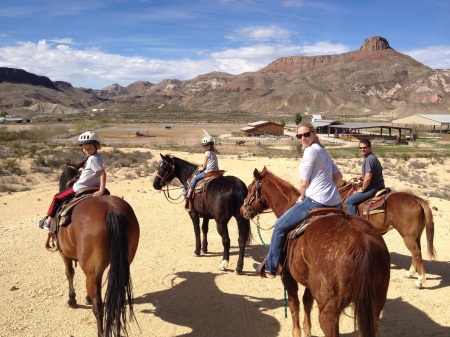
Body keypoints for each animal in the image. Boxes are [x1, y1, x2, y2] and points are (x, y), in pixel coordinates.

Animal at [46, 161, 140, 334]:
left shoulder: (64, 254)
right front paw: (85, 297)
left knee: (99, 306)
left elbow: (69, 273)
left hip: (94, 270)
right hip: (124, 262)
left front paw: (72, 299)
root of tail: (111, 210)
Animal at [241, 167, 388, 336]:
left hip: (328, 312)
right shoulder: (309, 282)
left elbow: (294, 304)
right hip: (374, 307)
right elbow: (307, 302)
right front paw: (307, 330)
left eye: (250, 188)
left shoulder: (288, 276)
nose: (242, 209)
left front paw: (297, 332)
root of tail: (362, 242)